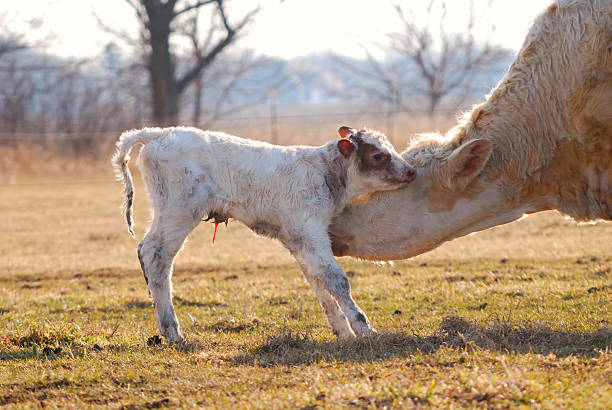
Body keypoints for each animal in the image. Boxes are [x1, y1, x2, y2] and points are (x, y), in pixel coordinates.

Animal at [111, 125, 416, 342]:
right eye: (379, 156)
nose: (411, 171)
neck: (321, 171)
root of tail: (159, 133)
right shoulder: (311, 231)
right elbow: (336, 280)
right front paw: (364, 329)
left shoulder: (300, 242)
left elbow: (318, 282)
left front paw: (343, 332)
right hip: (178, 213)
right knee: (155, 256)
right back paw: (172, 331)